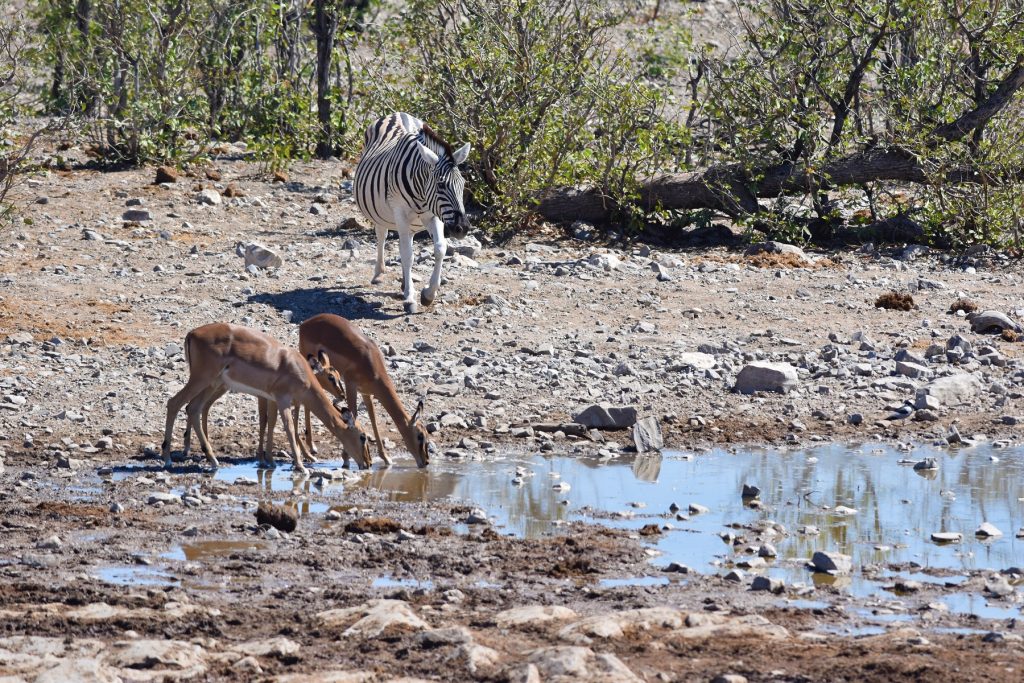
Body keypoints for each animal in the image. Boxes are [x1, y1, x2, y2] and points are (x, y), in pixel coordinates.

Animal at [354, 112, 468, 315]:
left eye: (463, 184)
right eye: (441, 185)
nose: (462, 228)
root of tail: (396, 114)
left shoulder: (434, 215)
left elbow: (440, 248)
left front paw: (428, 294)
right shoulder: (400, 212)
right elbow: (407, 254)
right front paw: (409, 298)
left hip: (412, 222)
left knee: (407, 240)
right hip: (380, 212)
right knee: (382, 236)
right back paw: (379, 274)